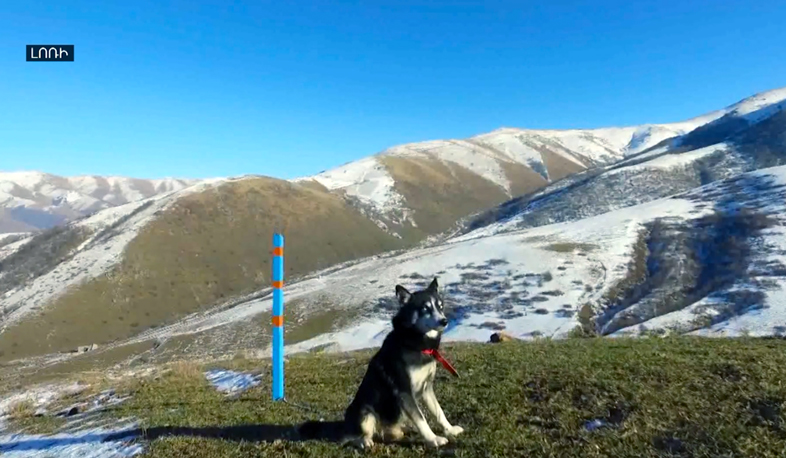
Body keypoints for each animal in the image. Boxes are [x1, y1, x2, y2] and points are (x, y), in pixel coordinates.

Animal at [298, 278, 462, 450]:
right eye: (425, 308)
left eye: (440, 306)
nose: (444, 321)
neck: (414, 343)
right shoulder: (404, 391)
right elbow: (421, 419)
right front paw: (433, 439)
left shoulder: (426, 388)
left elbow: (439, 412)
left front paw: (450, 430)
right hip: (365, 413)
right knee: (350, 438)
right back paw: (364, 441)